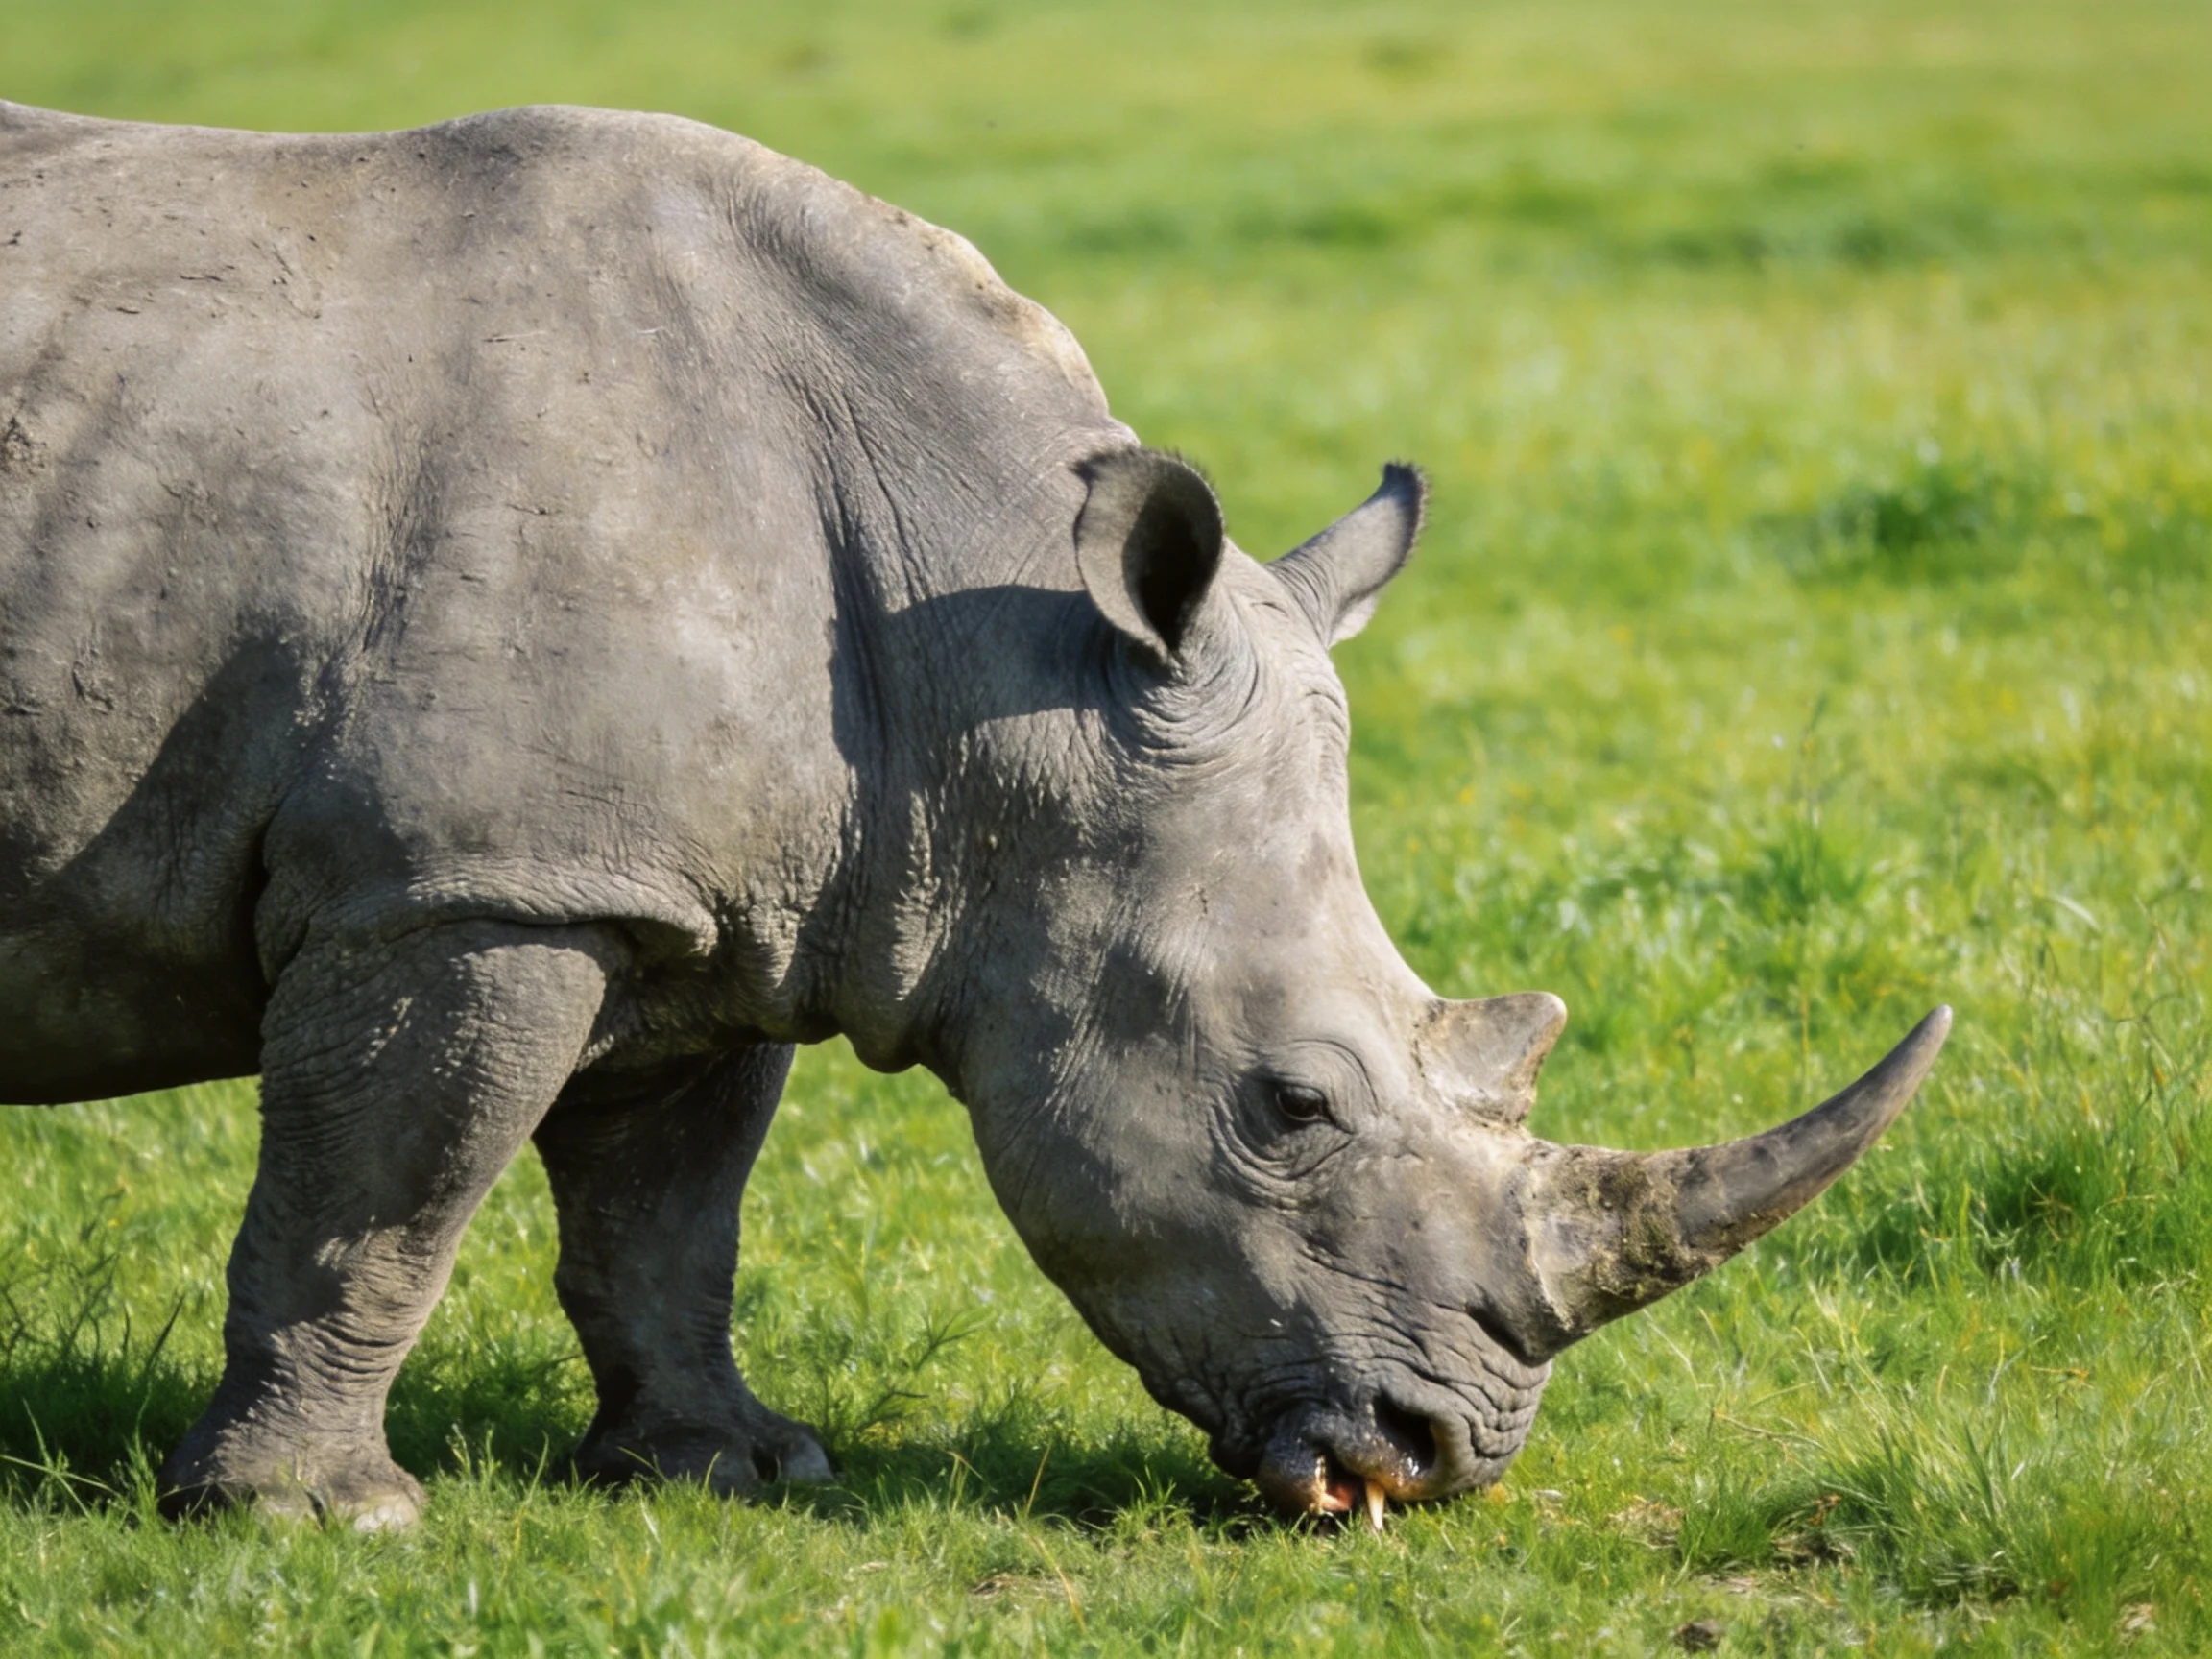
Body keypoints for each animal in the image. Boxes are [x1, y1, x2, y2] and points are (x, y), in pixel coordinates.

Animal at [0, 100, 1949, 1530]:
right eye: (1290, 1106)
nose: (1445, 1449)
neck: (996, 677)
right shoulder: (464, 884)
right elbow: (382, 1201)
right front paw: (316, 1523)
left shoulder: (703, 898)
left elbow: (666, 1214)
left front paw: (733, 1470)